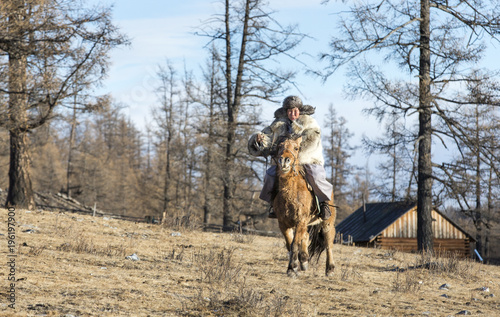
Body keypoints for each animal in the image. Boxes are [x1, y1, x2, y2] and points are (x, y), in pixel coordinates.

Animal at [274, 137, 336, 276]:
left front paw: (292, 268)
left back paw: (330, 269)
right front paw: (295, 265)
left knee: (328, 244)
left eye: (296, 148)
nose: (284, 160)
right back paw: (304, 260)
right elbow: (289, 244)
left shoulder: (300, 221)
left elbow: (294, 244)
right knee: (306, 236)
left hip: (327, 224)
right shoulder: (283, 224)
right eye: (280, 146)